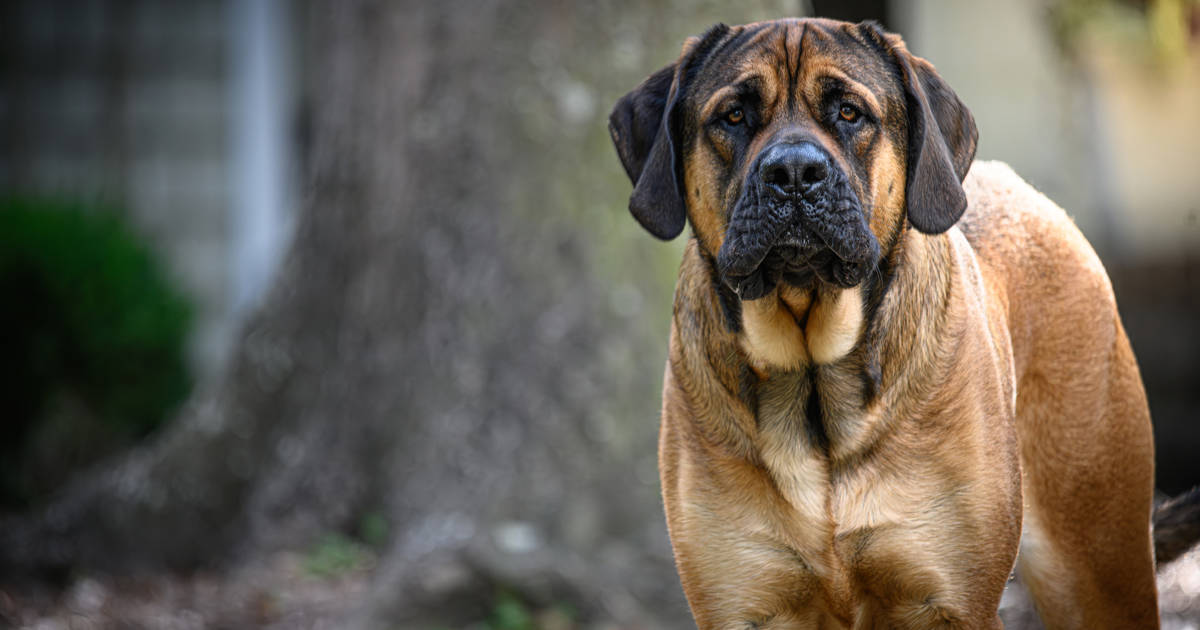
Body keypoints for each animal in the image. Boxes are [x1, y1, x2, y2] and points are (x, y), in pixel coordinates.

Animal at [609, 17, 1200, 624]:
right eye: (733, 115)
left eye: (849, 113)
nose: (794, 170)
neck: (813, 376)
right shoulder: (742, 604)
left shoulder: (952, 601)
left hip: (1099, 558)